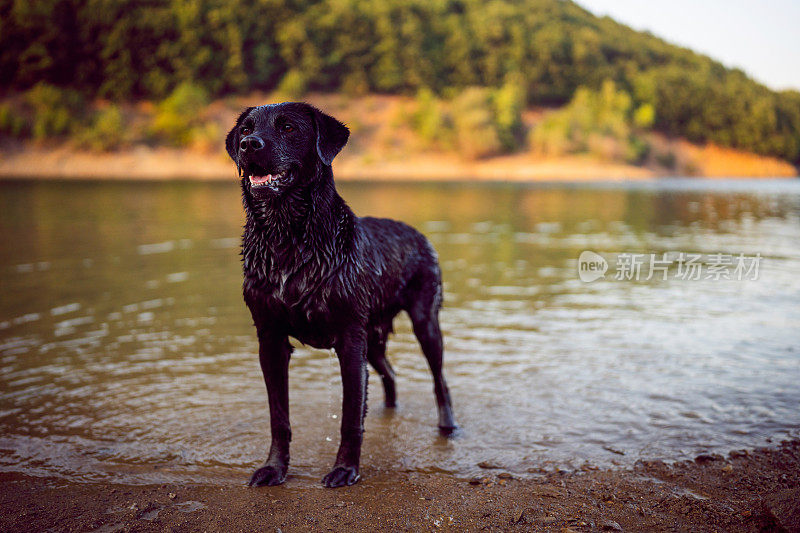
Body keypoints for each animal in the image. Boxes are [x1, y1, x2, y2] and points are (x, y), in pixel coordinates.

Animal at [225, 103, 456, 486]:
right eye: (246, 128)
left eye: (288, 127)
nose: (248, 145)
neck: (288, 240)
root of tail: (418, 233)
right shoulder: (270, 338)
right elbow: (279, 417)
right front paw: (274, 468)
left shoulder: (349, 338)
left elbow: (350, 417)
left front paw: (345, 470)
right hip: (372, 339)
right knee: (390, 374)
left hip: (424, 322)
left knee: (440, 381)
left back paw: (448, 426)